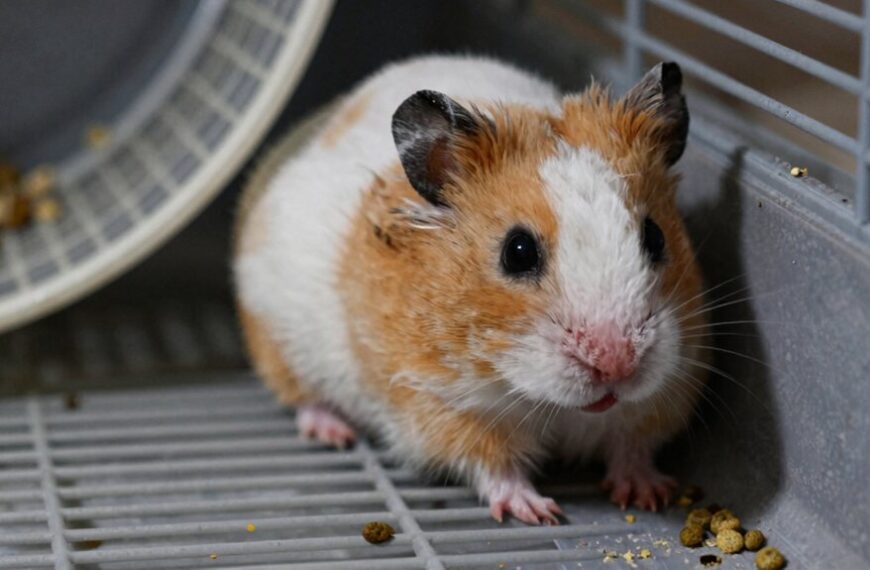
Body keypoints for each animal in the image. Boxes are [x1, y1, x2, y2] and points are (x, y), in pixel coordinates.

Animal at [233, 55, 708, 524]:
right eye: (518, 252)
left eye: (655, 237)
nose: (616, 366)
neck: (544, 400)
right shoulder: (439, 405)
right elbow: (493, 464)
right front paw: (538, 512)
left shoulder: (664, 390)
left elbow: (632, 448)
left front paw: (650, 494)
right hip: (279, 344)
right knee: (302, 398)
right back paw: (334, 432)